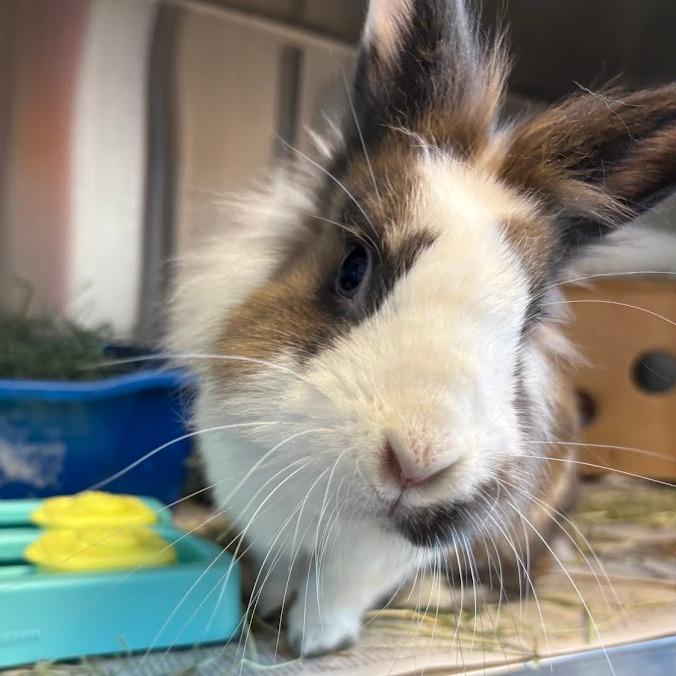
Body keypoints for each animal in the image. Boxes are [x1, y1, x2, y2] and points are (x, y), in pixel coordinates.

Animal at [169, 0, 676, 658]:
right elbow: (282, 565)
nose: (419, 460)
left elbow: (339, 589)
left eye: (526, 324)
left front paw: (314, 642)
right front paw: (270, 603)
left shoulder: (380, 552)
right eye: (352, 266)